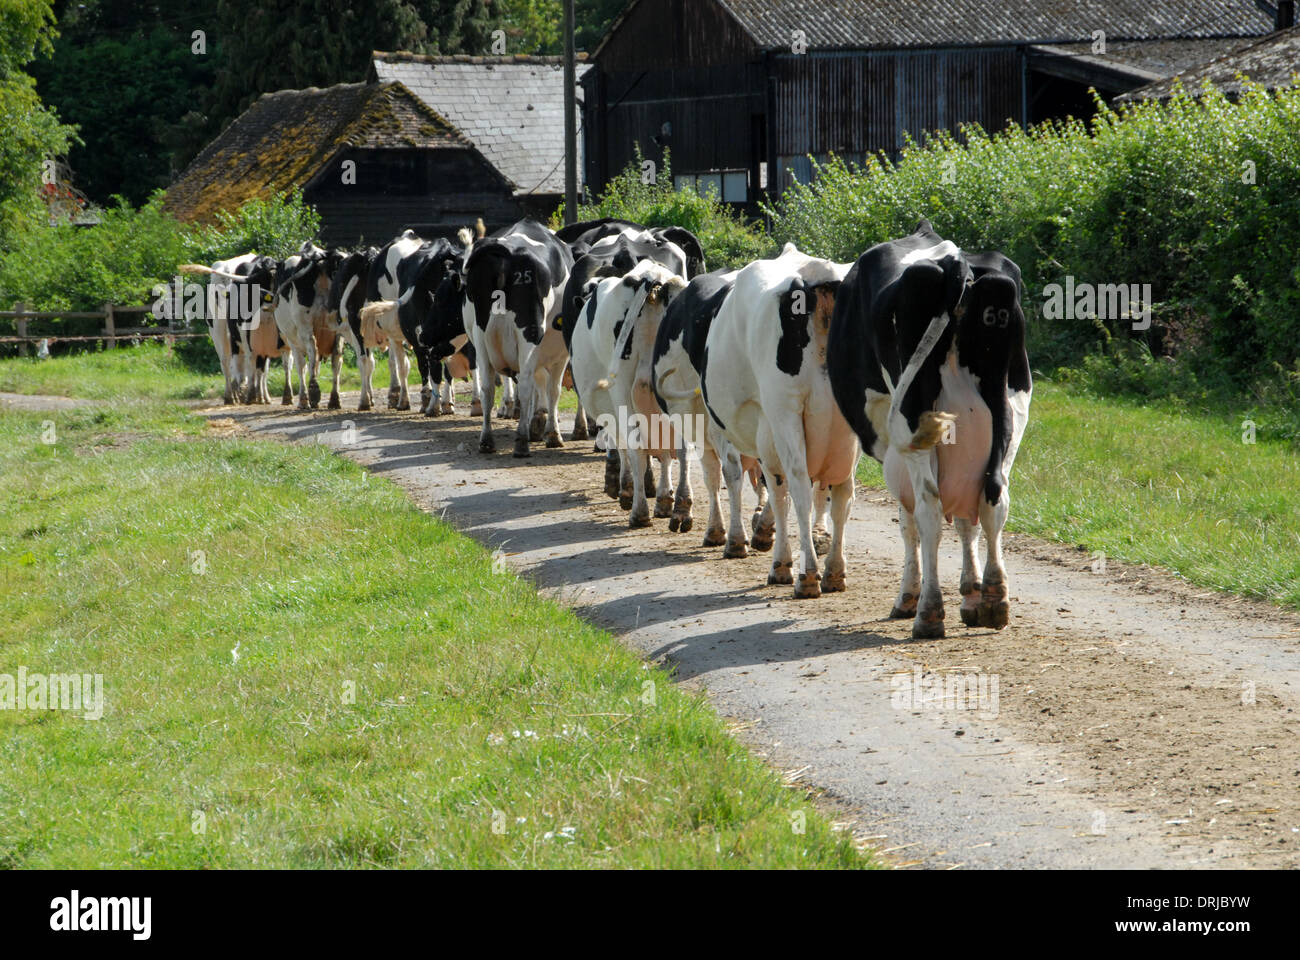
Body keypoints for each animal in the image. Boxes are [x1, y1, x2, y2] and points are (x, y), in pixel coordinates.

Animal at [569, 260, 689, 527]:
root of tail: (652, 276)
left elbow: (621, 444)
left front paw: (623, 487)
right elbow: (663, 452)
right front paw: (663, 499)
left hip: (622, 389)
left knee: (635, 447)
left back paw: (639, 512)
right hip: (679, 388)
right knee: (684, 446)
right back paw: (682, 510)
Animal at [699, 244, 858, 599]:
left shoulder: (758, 429)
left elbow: (771, 487)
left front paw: (776, 561)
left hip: (785, 410)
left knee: (799, 487)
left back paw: (808, 575)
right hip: (848, 426)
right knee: (843, 493)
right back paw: (834, 571)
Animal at [826, 220, 1032, 638]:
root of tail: (956, 262)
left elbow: (908, 523)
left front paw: (908, 597)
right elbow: (967, 521)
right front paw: (971, 596)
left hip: (916, 426)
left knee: (929, 512)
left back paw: (928, 613)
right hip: (1008, 414)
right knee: (994, 498)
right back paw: (995, 599)